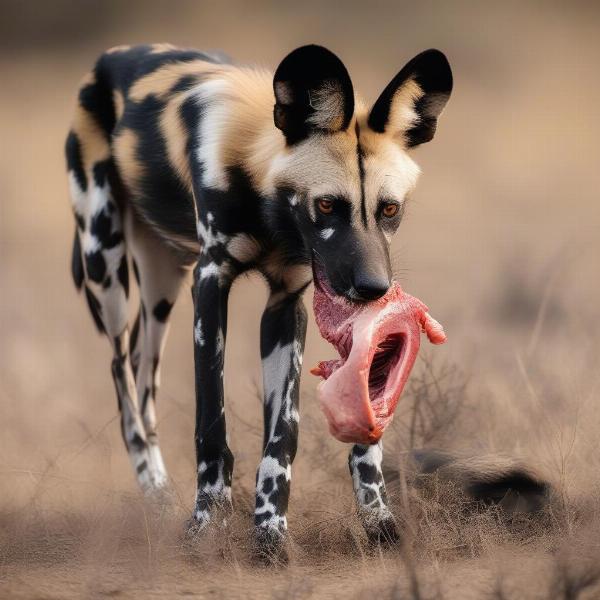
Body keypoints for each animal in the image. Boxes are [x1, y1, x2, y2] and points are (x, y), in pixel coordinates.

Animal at [64, 44, 450, 556]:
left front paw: (274, 527)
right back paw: (157, 498)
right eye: (327, 205)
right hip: (106, 270)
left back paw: (160, 494)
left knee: (145, 382)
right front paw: (207, 523)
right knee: (121, 375)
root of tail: (110, 56)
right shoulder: (210, 283)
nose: (374, 287)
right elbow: (211, 426)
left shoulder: (285, 304)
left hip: (161, 289)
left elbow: (283, 436)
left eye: (389, 209)